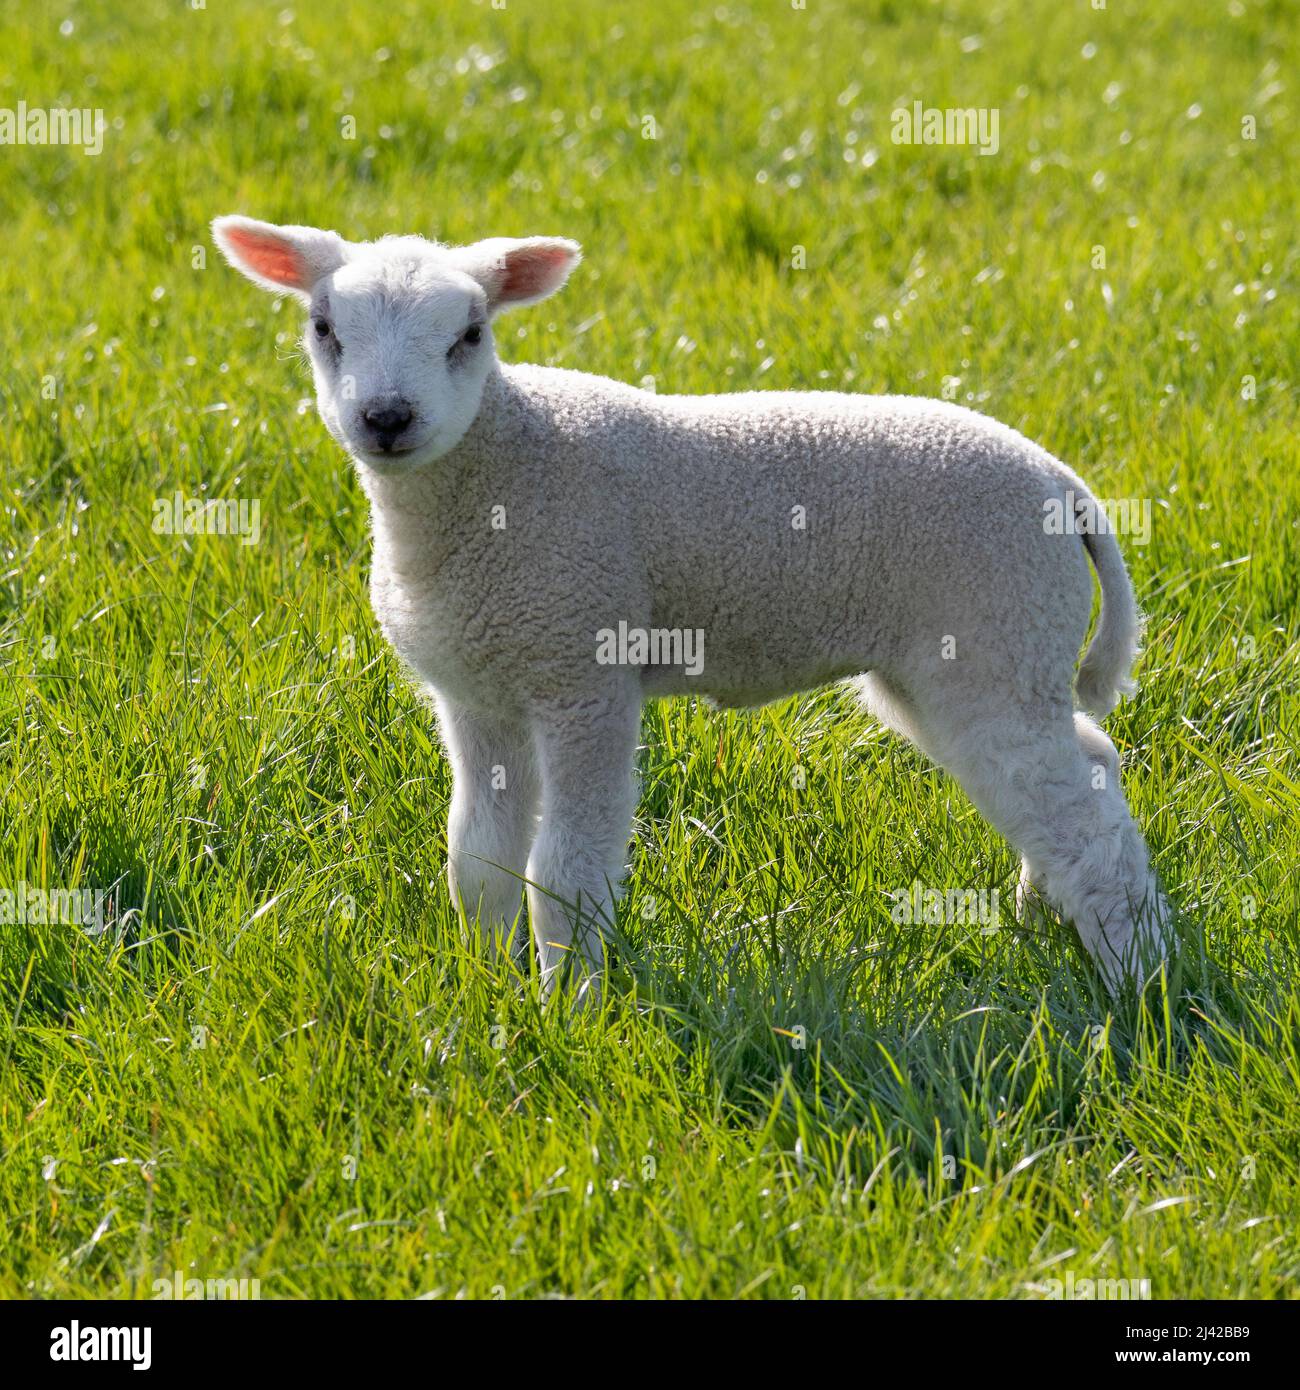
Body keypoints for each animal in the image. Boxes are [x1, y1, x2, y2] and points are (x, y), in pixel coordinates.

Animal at [215, 211, 1179, 1000]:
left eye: (471, 334)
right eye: (323, 328)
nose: (387, 418)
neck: (497, 480)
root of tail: (1064, 486)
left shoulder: (584, 672)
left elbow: (565, 869)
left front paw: (570, 1011)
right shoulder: (477, 693)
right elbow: (478, 861)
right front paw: (485, 992)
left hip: (998, 631)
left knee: (1080, 816)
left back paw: (1137, 980)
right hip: (967, 660)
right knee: (1082, 767)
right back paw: (1045, 913)